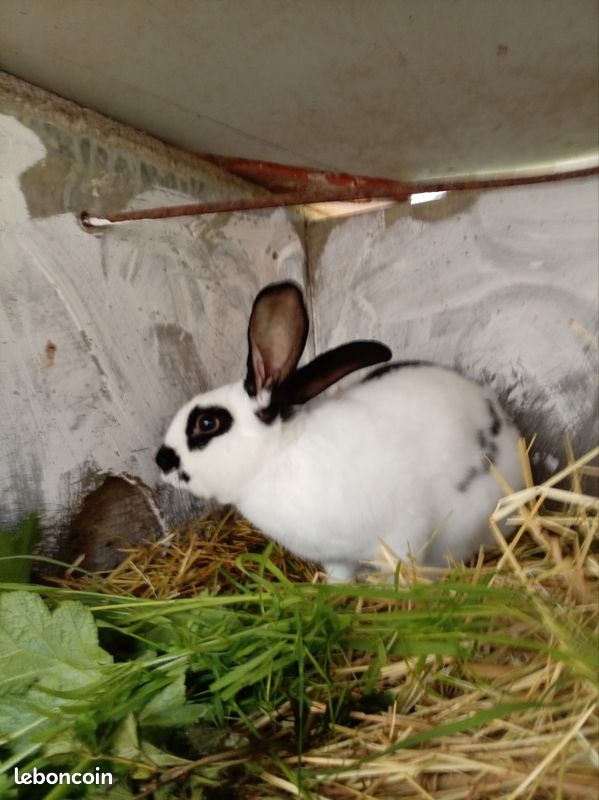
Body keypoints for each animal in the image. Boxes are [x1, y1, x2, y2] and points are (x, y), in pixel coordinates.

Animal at [156, 281, 522, 581]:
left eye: (207, 423)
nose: (161, 460)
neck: (277, 457)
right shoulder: (337, 556)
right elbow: (340, 575)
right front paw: (332, 592)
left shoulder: (403, 531)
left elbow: (402, 570)